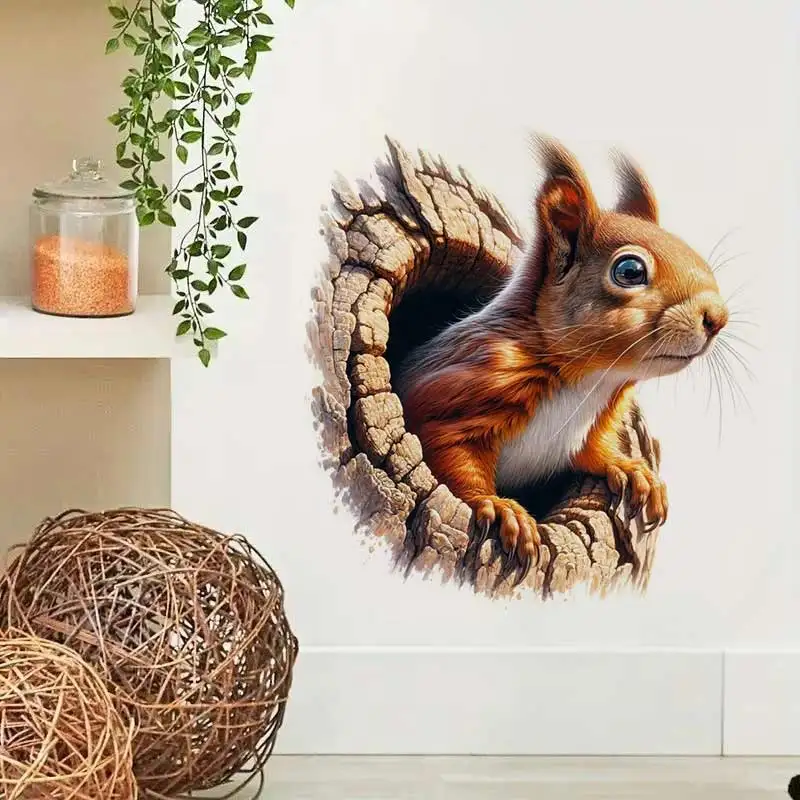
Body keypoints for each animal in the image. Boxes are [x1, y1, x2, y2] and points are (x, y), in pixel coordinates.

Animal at [394, 134, 728, 580]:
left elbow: (590, 452)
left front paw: (629, 469)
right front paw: (498, 507)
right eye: (630, 271)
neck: (590, 381)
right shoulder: (462, 388)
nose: (718, 317)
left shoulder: (589, 427)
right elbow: (449, 455)